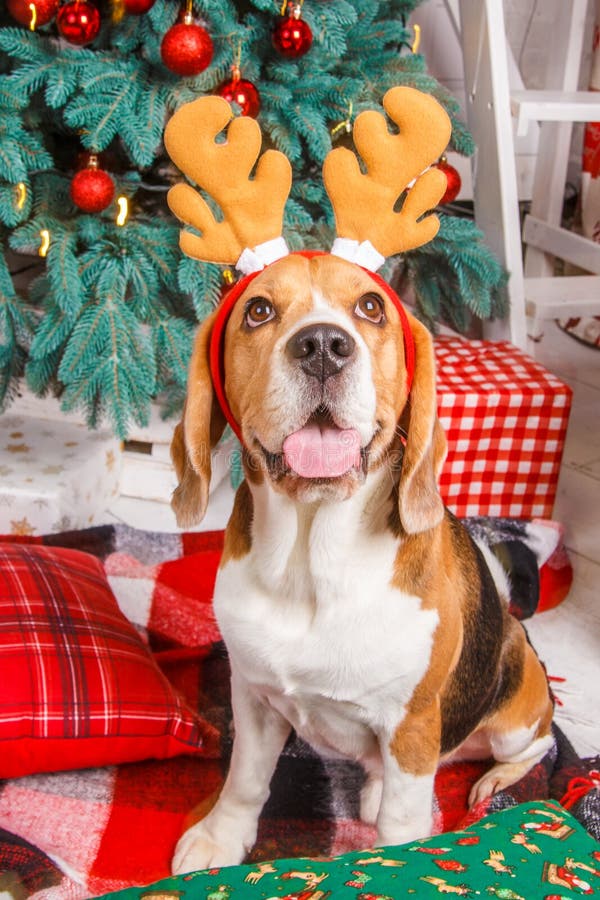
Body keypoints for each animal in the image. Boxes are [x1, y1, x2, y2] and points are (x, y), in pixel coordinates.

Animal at [169, 250, 552, 876]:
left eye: (371, 307)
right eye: (258, 310)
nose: (323, 345)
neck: (310, 564)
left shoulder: (412, 723)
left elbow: (402, 823)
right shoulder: (252, 696)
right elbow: (245, 780)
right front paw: (220, 840)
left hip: (515, 714)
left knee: (534, 744)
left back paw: (493, 781)